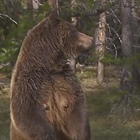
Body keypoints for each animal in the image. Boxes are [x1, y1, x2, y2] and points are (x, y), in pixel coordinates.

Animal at [10, 12, 93, 140]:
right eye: (74, 30)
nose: (91, 39)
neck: (50, 65)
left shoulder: (65, 79)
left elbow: (78, 108)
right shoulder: (28, 84)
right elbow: (25, 115)